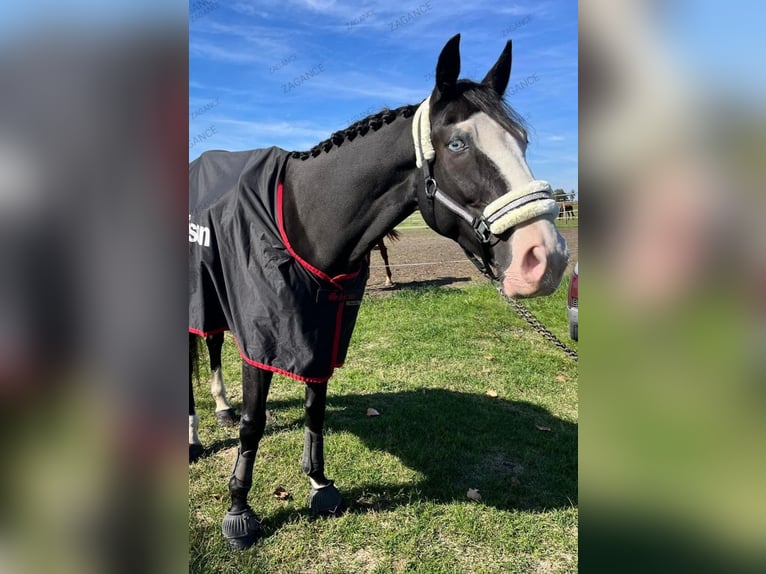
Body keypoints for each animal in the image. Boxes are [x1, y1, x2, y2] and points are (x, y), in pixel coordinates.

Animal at [188, 36, 568, 552]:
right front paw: (239, 512)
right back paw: (193, 440)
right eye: (457, 144)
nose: (546, 258)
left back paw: (221, 409)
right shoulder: (263, 338)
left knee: (210, 343)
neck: (304, 220)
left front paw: (320, 485)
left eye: (522, 141)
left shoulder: (321, 334)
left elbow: (315, 410)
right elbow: (255, 424)